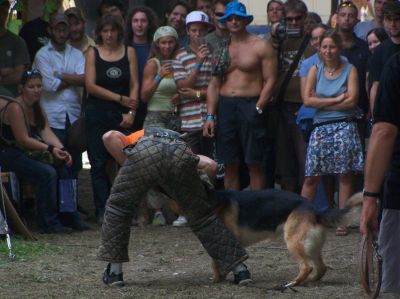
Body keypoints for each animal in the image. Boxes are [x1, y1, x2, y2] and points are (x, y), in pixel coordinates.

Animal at [174, 190, 362, 288]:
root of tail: (315, 208)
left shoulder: (222, 238)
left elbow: (214, 262)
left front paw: (216, 278)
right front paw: (222, 276)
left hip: (293, 243)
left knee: (306, 266)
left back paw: (293, 283)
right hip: (311, 246)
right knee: (321, 268)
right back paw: (310, 281)